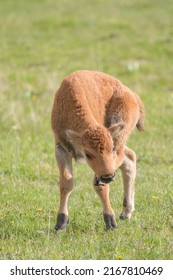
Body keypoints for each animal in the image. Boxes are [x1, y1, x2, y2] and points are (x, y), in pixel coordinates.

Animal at [50, 70, 144, 230]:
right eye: (88, 154)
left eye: (110, 149)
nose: (108, 176)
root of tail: (133, 96)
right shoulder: (61, 149)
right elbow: (66, 182)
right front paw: (61, 223)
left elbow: (101, 188)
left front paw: (111, 222)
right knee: (130, 159)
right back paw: (126, 212)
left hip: (119, 135)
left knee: (127, 159)